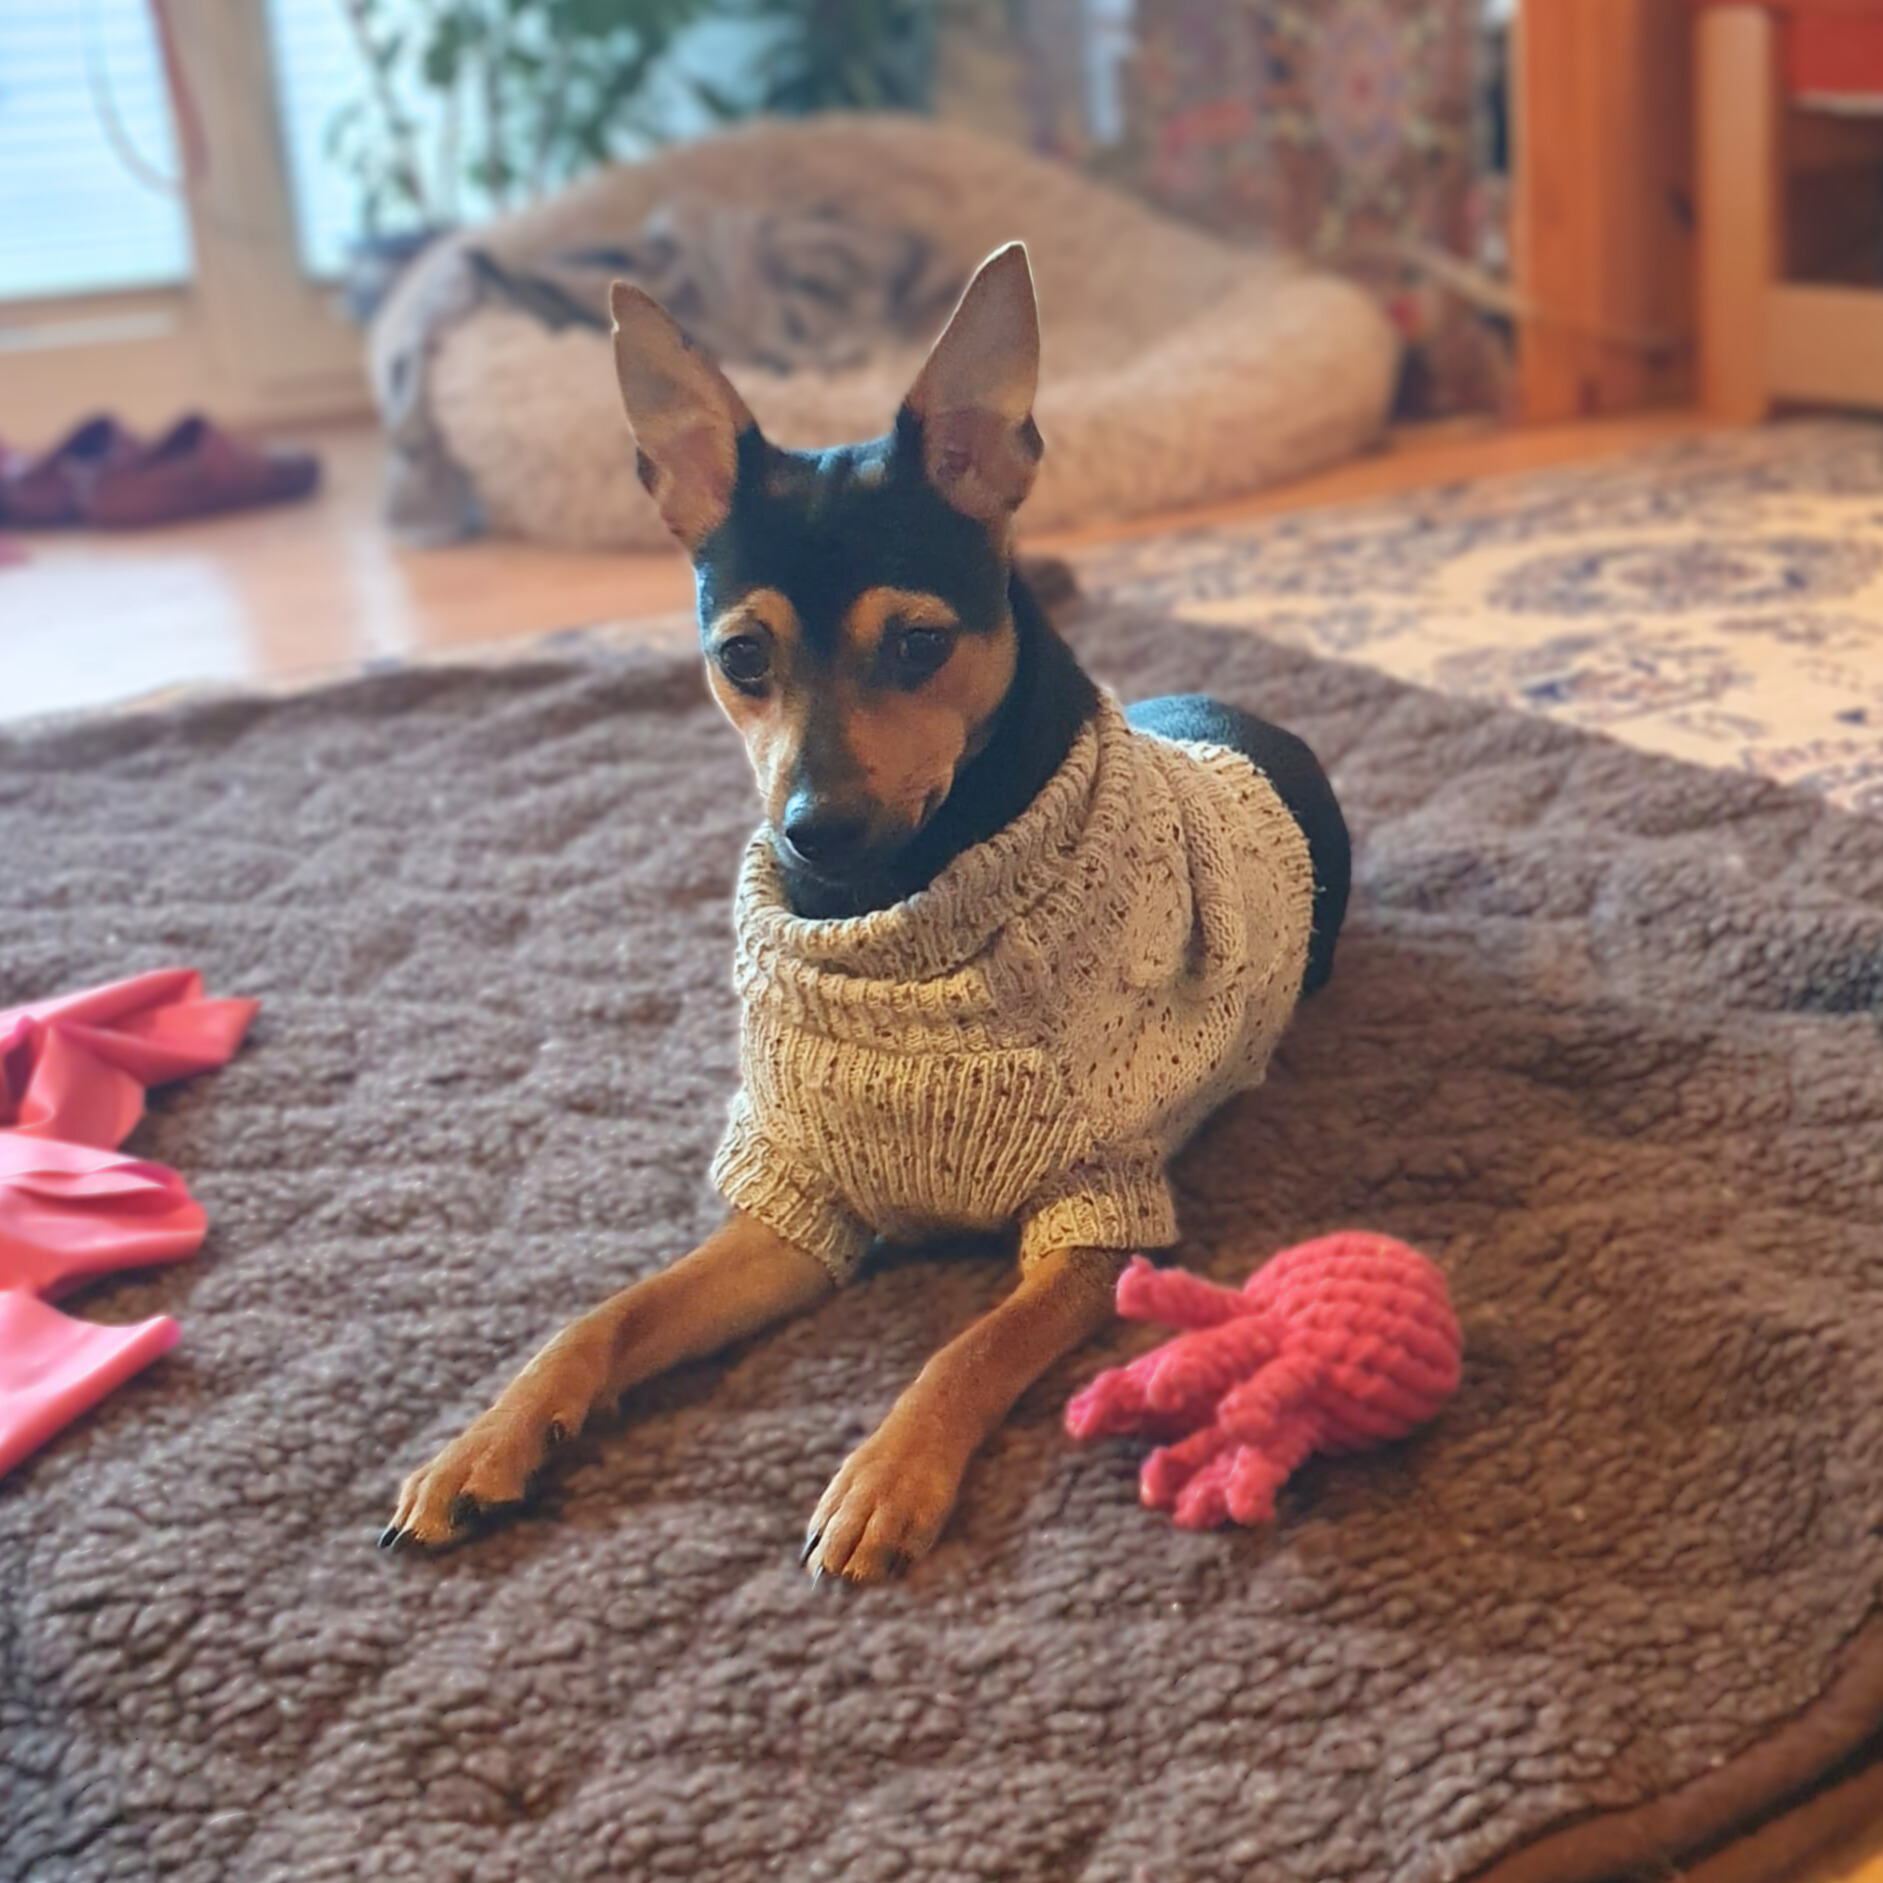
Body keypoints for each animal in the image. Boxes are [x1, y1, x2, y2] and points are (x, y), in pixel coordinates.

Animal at [383, 243, 1350, 1583]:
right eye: (740, 657)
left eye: (919, 644)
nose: (815, 830)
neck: (885, 902)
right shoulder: (798, 1206)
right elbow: (605, 1315)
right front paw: (491, 1436)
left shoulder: (1097, 1212)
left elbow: (967, 1345)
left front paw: (890, 1472)